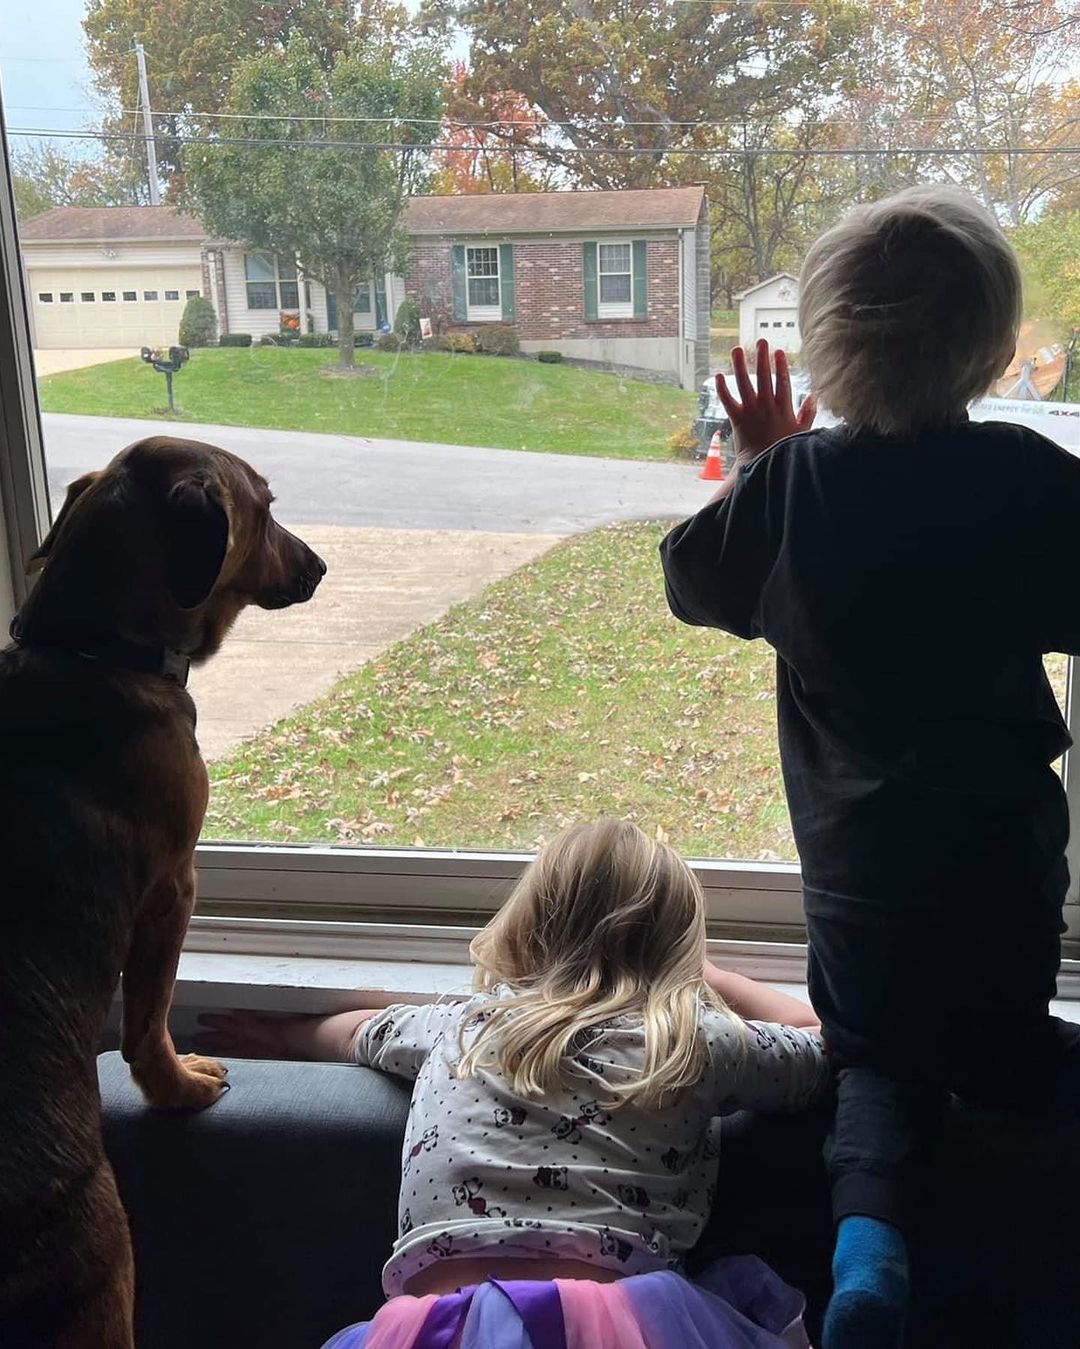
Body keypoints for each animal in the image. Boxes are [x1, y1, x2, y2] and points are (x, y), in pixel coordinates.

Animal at [0, 437, 324, 1343]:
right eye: (266, 506)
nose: (319, 565)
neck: (94, 647)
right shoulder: (174, 888)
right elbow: (149, 1020)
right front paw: (179, 1087)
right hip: (103, 1266)